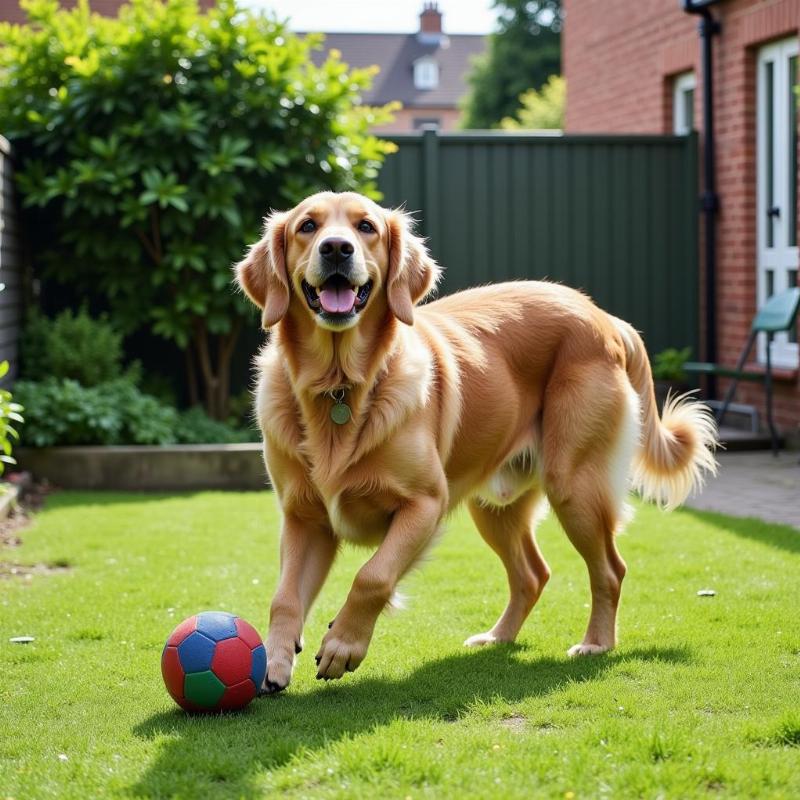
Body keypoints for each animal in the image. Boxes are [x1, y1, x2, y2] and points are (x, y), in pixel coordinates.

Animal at [236, 191, 720, 692]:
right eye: (307, 226)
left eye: (366, 226)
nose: (336, 248)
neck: (340, 387)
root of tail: (603, 316)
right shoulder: (304, 518)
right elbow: (284, 597)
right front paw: (275, 660)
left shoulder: (424, 504)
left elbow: (373, 576)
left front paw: (342, 645)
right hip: (494, 507)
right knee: (533, 574)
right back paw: (498, 637)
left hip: (574, 486)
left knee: (610, 568)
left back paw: (596, 643)